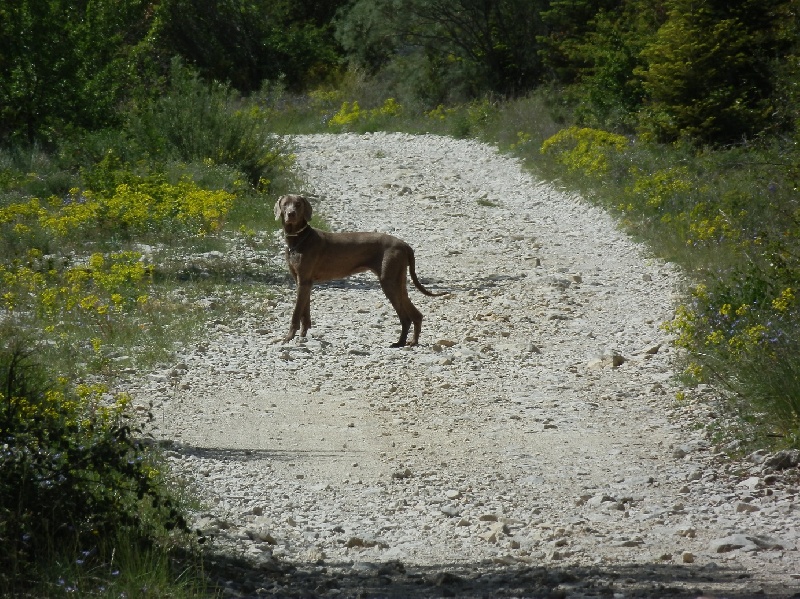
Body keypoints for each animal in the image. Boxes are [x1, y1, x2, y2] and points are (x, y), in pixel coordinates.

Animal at [272, 195, 440, 350]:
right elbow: (304, 313)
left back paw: (402, 343)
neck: (299, 238)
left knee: (405, 317)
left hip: (389, 281)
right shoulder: (303, 282)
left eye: (298, 204)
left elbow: (295, 314)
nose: (291, 214)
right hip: (398, 281)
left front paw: (287, 338)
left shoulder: (304, 281)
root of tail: (404, 244)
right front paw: (302, 336)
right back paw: (409, 342)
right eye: (285, 204)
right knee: (415, 314)